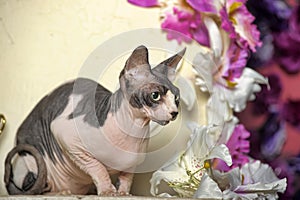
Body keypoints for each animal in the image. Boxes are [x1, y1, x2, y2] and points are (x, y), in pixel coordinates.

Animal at [4, 45, 185, 195]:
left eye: (176, 98)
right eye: (155, 95)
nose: (174, 112)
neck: (134, 129)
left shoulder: (132, 164)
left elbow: (127, 178)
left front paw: (123, 193)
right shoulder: (66, 135)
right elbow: (97, 167)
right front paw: (107, 191)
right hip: (29, 163)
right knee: (36, 189)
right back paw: (60, 192)